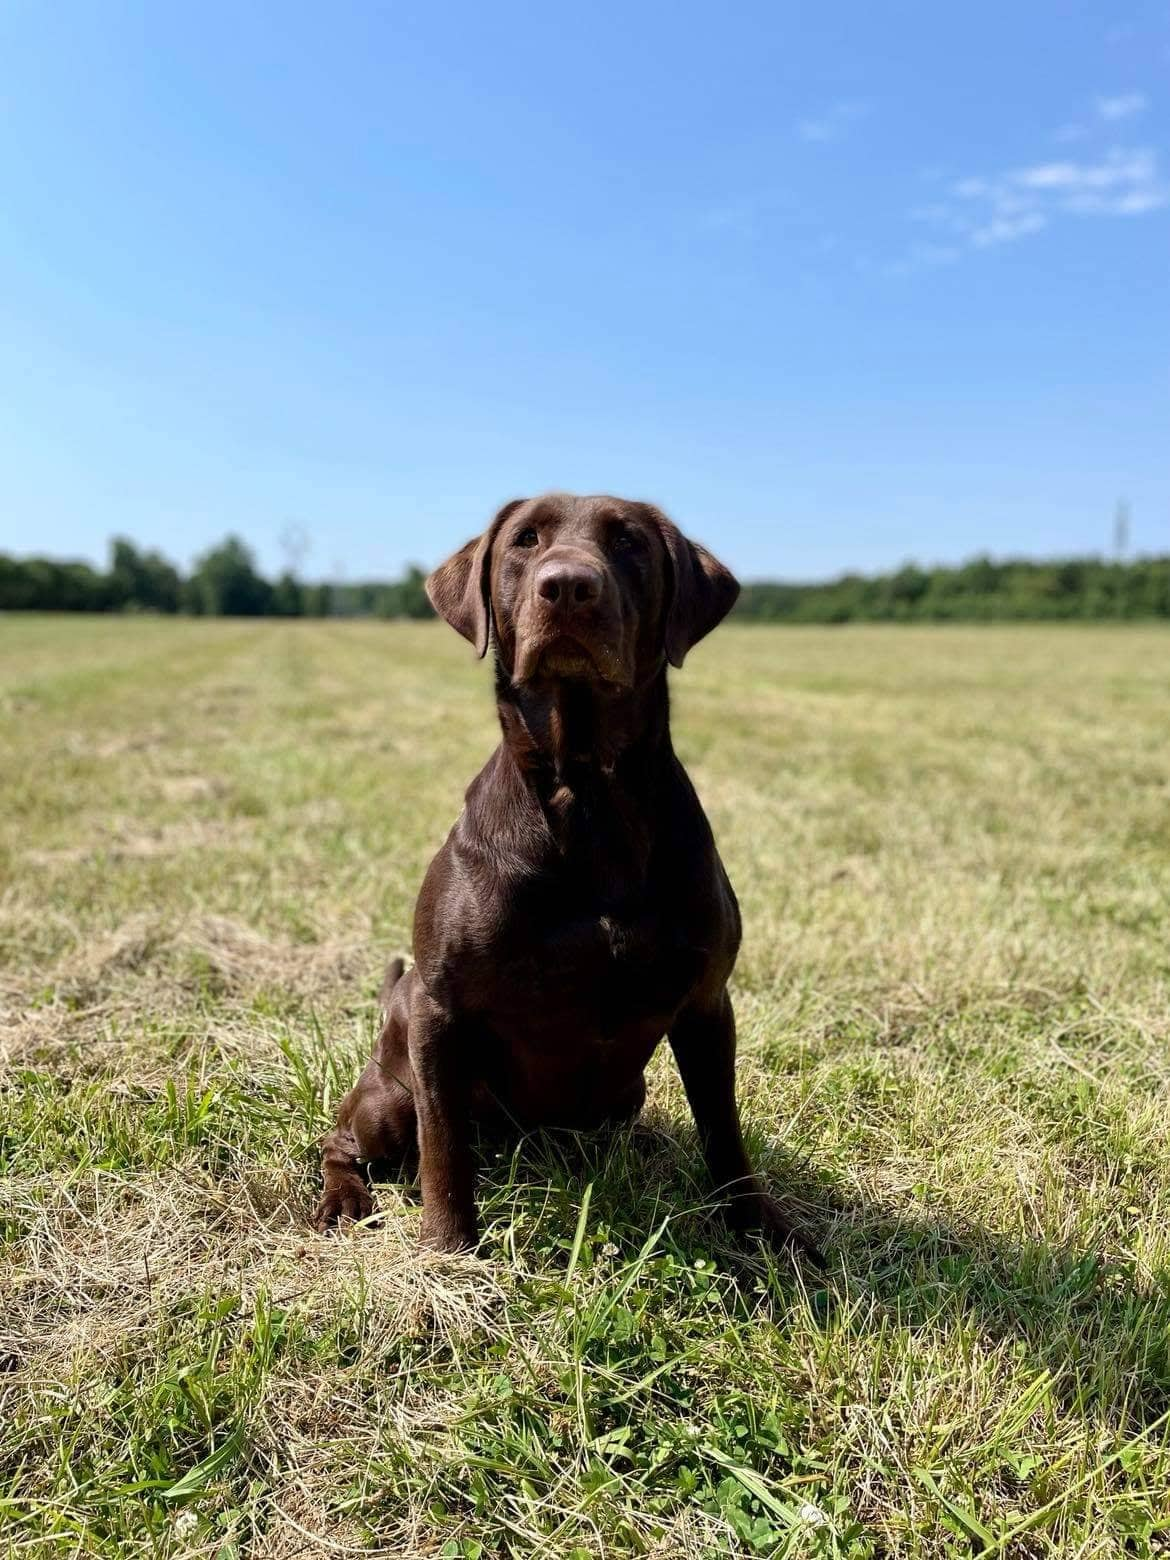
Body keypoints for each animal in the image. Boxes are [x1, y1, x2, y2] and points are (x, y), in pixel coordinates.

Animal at [316, 492, 817, 1260]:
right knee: (344, 1138)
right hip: (389, 1095)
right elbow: (444, 1150)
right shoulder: (439, 1011)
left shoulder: (707, 1001)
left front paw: (759, 1229)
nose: (570, 586)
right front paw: (448, 1249)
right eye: (526, 540)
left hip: (624, 1094)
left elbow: (724, 1132)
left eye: (629, 541)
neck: (585, 792)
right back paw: (343, 1197)